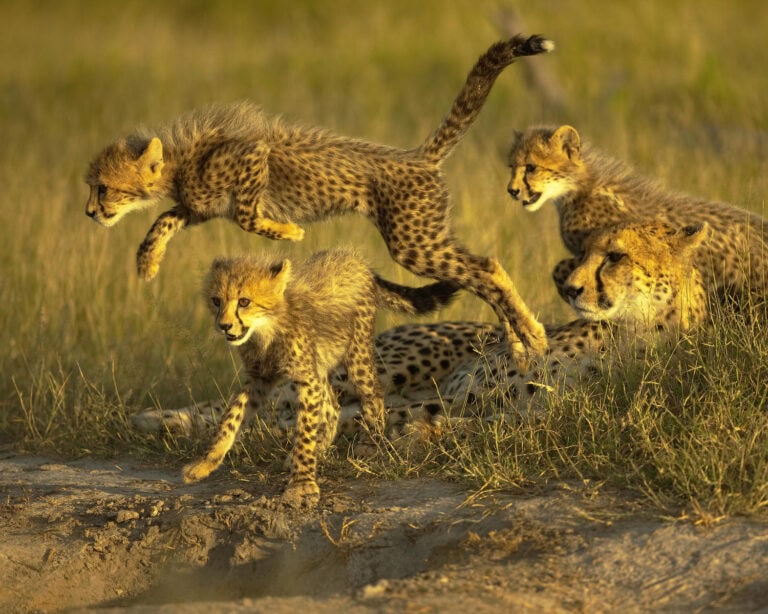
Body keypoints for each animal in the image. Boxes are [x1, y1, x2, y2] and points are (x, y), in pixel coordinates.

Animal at [84, 35, 555, 369]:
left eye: (102, 187)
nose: (89, 212)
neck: (180, 161)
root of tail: (417, 155)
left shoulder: (252, 155)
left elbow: (246, 214)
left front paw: (287, 231)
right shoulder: (198, 207)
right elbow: (164, 220)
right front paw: (147, 263)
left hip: (412, 242)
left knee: (485, 270)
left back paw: (531, 334)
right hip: (426, 237)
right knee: (484, 272)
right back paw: (519, 343)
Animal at [135, 221, 709, 449]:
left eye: (614, 256)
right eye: (586, 251)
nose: (568, 286)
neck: (637, 332)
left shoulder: (537, 412)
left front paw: (418, 433)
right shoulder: (469, 390)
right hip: (391, 364)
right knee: (274, 401)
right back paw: (164, 421)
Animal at [180, 248, 457, 507]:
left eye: (244, 302)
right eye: (216, 301)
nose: (224, 326)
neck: (267, 329)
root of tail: (352, 258)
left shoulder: (305, 378)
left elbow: (303, 431)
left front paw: (301, 485)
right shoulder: (260, 379)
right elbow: (231, 418)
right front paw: (205, 463)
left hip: (356, 353)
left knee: (373, 393)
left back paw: (369, 443)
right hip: (322, 364)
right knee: (333, 406)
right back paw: (319, 447)